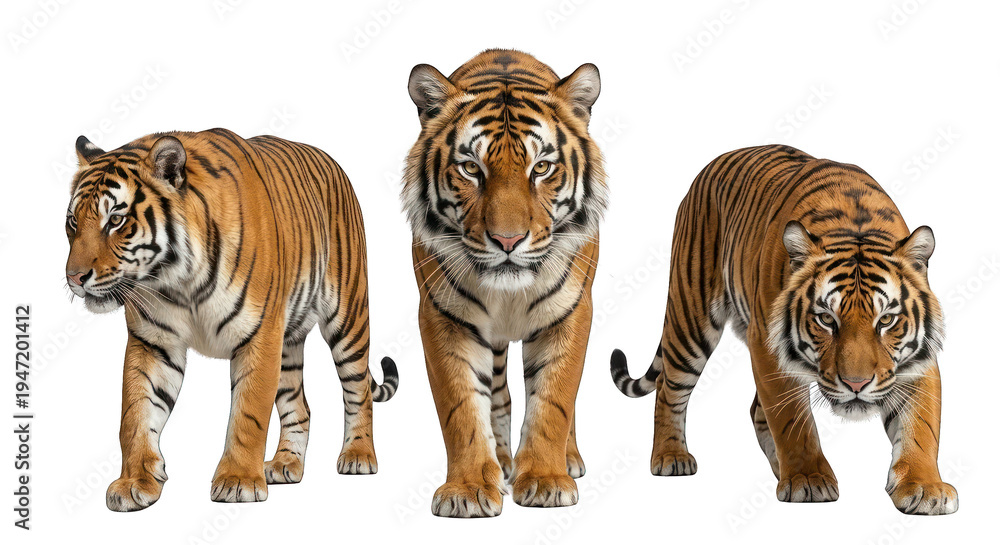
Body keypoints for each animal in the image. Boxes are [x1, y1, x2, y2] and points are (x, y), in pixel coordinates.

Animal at [64, 128, 398, 511]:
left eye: (116, 221)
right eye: (73, 222)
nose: (74, 277)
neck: (177, 280)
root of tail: (330, 160)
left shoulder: (259, 335)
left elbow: (248, 415)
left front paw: (238, 481)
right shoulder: (153, 341)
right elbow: (135, 414)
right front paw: (135, 482)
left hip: (348, 319)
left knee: (359, 391)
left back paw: (358, 456)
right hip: (287, 345)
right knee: (300, 406)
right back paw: (285, 464)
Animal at [401, 49, 607, 517]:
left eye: (541, 168)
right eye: (470, 169)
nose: (508, 240)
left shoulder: (570, 312)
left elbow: (553, 401)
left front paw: (548, 481)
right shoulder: (443, 316)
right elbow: (462, 407)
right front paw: (468, 488)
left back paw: (567, 460)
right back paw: (501, 463)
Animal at [610, 145, 958, 515]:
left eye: (886, 321)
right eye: (826, 320)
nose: (856, 385)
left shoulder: (918, 359)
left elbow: (921, 425)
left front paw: (925, 487)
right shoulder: (767, 347)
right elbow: (792, 420)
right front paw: (808, 479)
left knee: (754, 410)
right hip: (690, 319)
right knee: (669, 387)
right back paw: (671, 456)